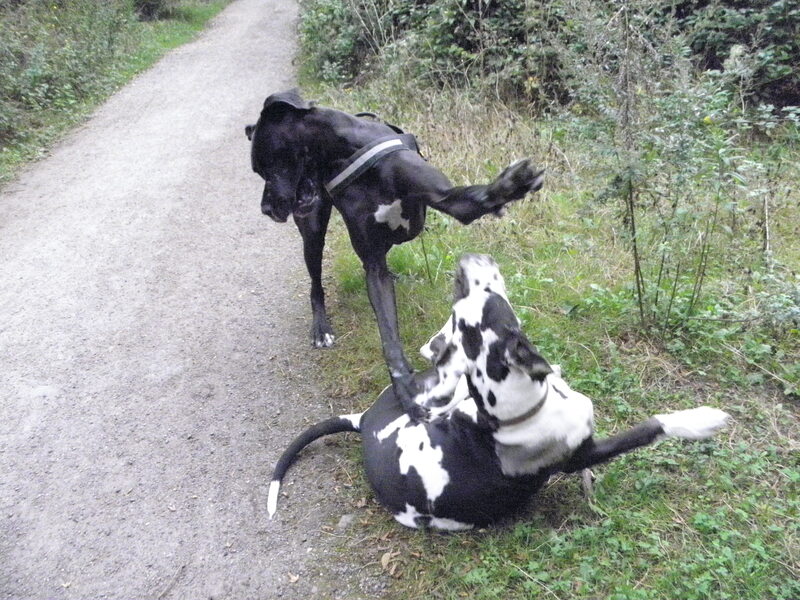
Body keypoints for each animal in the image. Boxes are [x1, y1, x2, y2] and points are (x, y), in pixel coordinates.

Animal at [244, 91, 544, 414]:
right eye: (258, 171)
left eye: (270, 164)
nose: (266, 209)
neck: (344, 152)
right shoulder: (373, 262)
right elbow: (388, 332)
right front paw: (403, 386)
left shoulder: (449, 200)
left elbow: (476, 199)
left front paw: (512, 185)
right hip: (312, 232)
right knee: (315, 283)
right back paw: (321, 328)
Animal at [268, 253, 732, 528]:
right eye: (487, 296)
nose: (467, 261)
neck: (518, 411)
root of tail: (364, 421)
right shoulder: (584, 451)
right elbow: (650, 427)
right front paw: (700, 420)